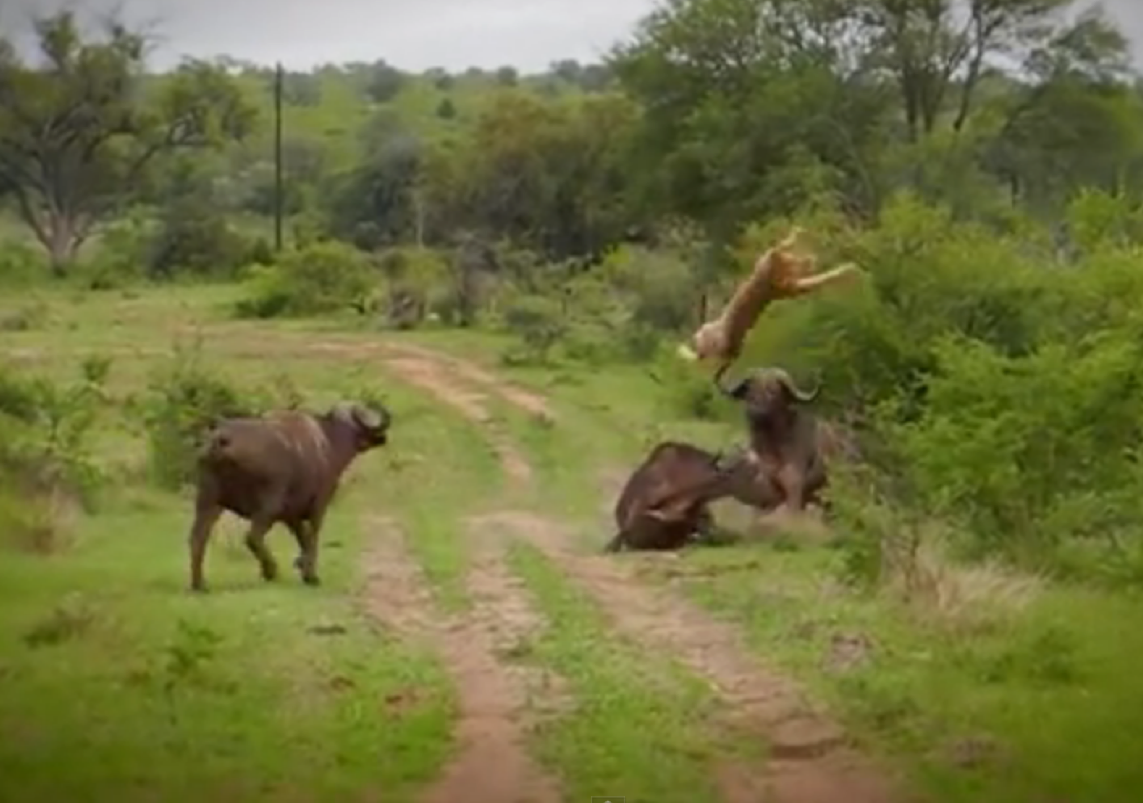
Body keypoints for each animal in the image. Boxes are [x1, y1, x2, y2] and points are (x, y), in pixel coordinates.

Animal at [187, 404, 393, 593]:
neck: (329, 442)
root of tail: (222, 439)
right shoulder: (319, 505)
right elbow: (312, 537)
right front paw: (311, 575)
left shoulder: (291, 515)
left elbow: (303, 538)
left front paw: (302, 566)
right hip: (268, 506)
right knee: (252, 537)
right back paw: (271, 571)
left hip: (208, 500)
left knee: (198, 538)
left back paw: (200, 584)